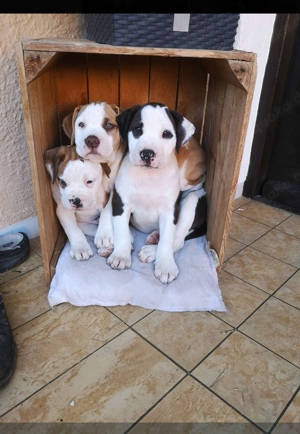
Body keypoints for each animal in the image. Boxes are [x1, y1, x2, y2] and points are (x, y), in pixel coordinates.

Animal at [105, 102, 197, 284]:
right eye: (137, 129)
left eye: (167, 134)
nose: (147, 153)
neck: (148, 176)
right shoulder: (121, 203)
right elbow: (121, 231)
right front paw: (121, 256)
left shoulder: (170, 211)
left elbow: (168, 239)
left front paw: (166, 266)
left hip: (192, 198)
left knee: (178, 240)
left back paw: (151, 250)